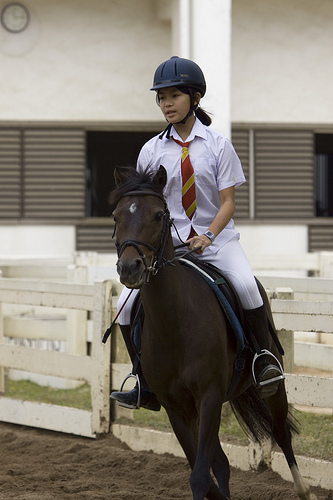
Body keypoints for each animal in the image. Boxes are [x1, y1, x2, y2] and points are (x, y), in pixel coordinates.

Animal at [109, 165, 316, 500]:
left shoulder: (209, 396)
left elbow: (200, 476)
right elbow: (204, 468)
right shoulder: (176, 407)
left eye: (157, 215)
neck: (173, 322)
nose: (130, 268)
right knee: (220, 461)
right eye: (116, 216)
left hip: (270, 386)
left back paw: (303, 489)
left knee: (280, 431)